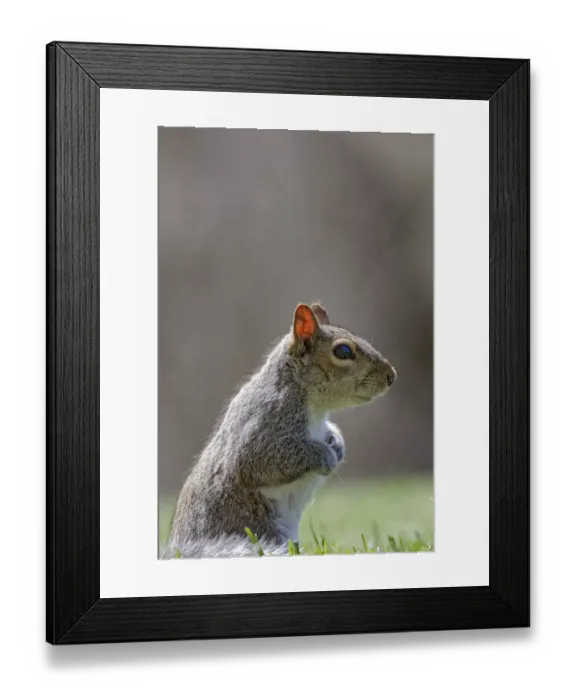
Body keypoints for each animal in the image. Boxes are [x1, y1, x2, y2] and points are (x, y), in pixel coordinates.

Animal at [164, 302, 396, 558]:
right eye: (343, 351)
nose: (391, 376)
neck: (315, 406)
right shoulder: (265, 420)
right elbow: (259, 460)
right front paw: (325, 456)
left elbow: (331, 432)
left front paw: (337, 444)